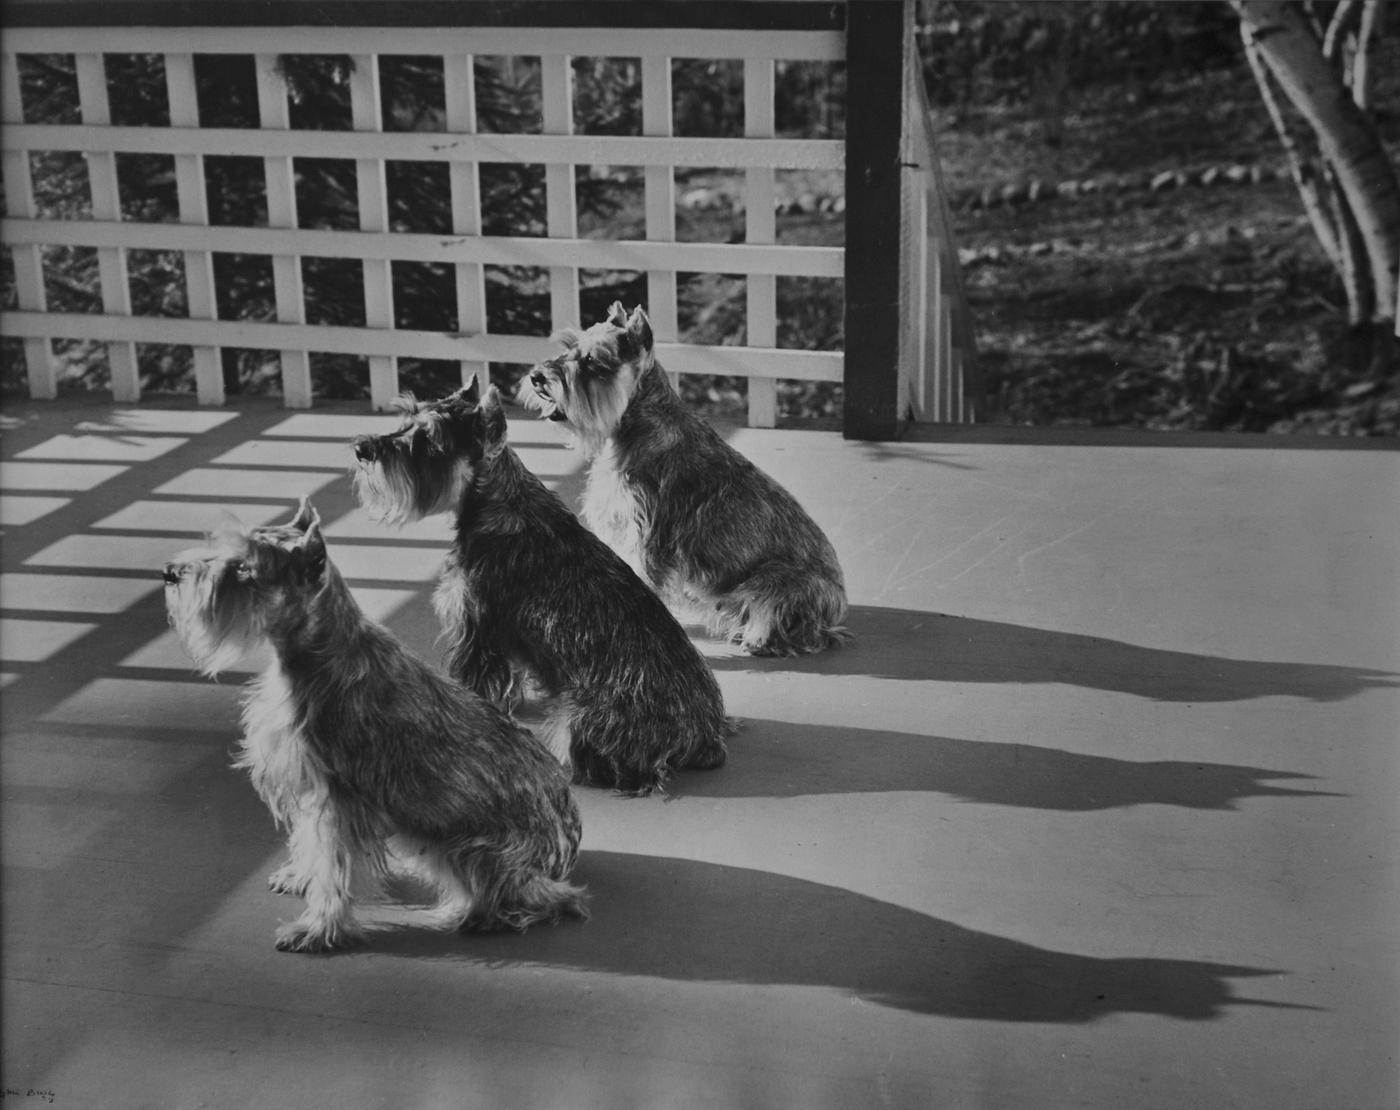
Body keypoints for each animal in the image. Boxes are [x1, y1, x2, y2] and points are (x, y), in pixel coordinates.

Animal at [162, 498, 585, 946]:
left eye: (244, 567)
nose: (170, 572)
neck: (319, 651)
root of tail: (568, 840)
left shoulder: (336, 798)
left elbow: (332, 867)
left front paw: (318, 928)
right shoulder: (309, 786)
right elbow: (309, 844)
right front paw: (300, 878)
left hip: (472, 849)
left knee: (550, 898)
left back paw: (480, 913)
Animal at [348, 383, 733, 795]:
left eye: (430, 440)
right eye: (407, 417)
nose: (362, 448)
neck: (501, 500)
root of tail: (701, 735)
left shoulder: (477, 630)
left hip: (580, 721)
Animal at [523, 298, 845, 655]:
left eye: (593, 360)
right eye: (568, 347)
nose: (536, 377)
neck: (633, 423)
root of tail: (836, 606)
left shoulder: (646, 537)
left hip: (774, 581)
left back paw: (758, 637)